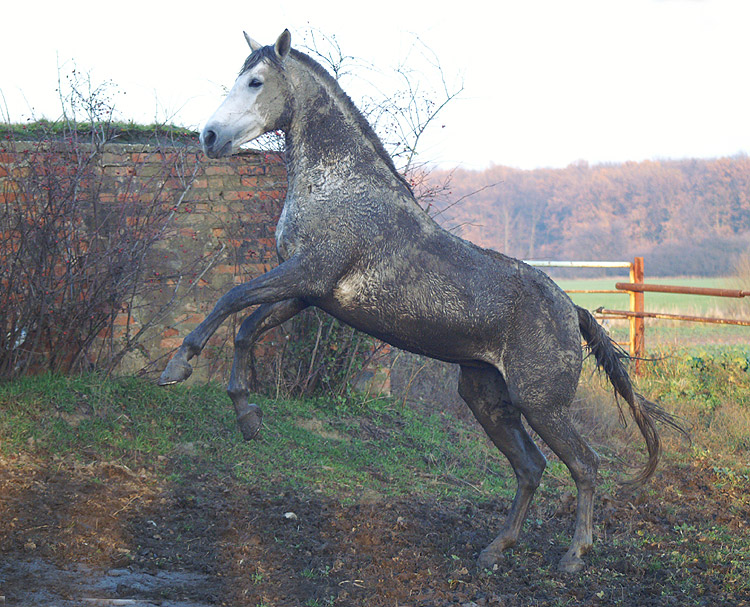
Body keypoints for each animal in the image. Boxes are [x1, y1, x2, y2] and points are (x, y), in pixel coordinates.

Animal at [160, 29, 688, 576]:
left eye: (256, 81)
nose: (209, 137)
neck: (340, 187)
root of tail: (573, 311)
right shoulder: (306, 292)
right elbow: (245, 326)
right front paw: (247, 416)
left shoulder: (308, 273)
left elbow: (230, 300)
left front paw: (177, 367)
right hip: (486, 397)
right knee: (530, 467)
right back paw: (495, 549)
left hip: (541, 402)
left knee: (584, 464)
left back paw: (573, 555)